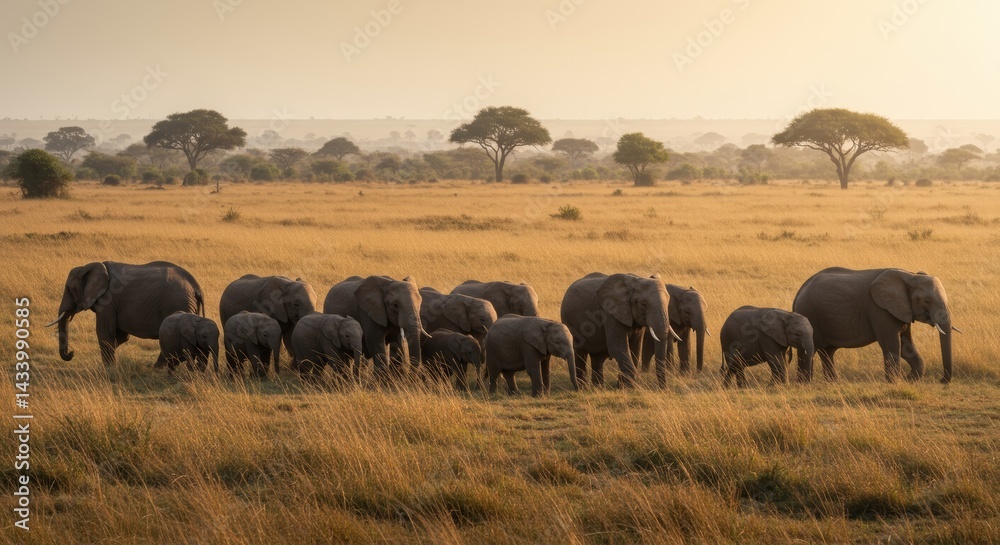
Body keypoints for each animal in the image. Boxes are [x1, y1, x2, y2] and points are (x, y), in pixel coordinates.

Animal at [47, 261, 204, 366]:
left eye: (69, 290)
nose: (72, 353)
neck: (91, 266)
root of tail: (196, 287)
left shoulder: (108, 301)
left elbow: (105, 333)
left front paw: (109, 370)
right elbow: (121, 337)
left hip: (176, 303)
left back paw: (158, 368)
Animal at [793, 267, 956, 383]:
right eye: (927, 301)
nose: (942, 381)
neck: (910, 276)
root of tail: (799, 292)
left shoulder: (902, 310)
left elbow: (906, 345)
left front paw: (909, 379)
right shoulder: (880, 310)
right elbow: (891, 344)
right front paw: (895, 382)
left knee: (827, 351)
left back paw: (832, 382)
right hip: (809, 313)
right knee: (810, 349)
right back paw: (805, 383)